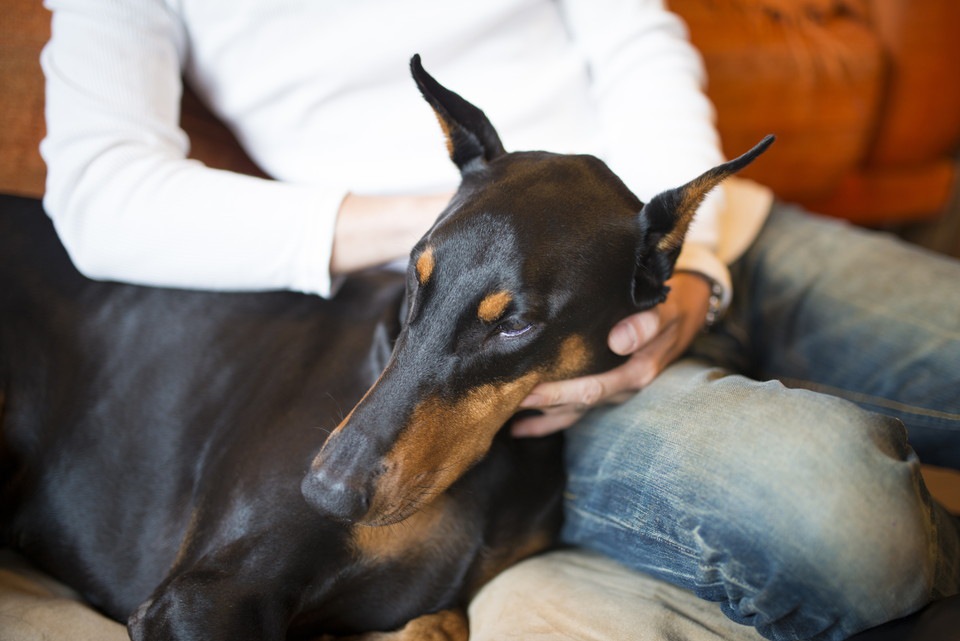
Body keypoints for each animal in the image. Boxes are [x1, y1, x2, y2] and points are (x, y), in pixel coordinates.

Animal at [0, 57, 768, 636]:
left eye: (515, 325)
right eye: (414, 275)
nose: (325, 490)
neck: (494, 466)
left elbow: (441, 618)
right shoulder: (200, 596)